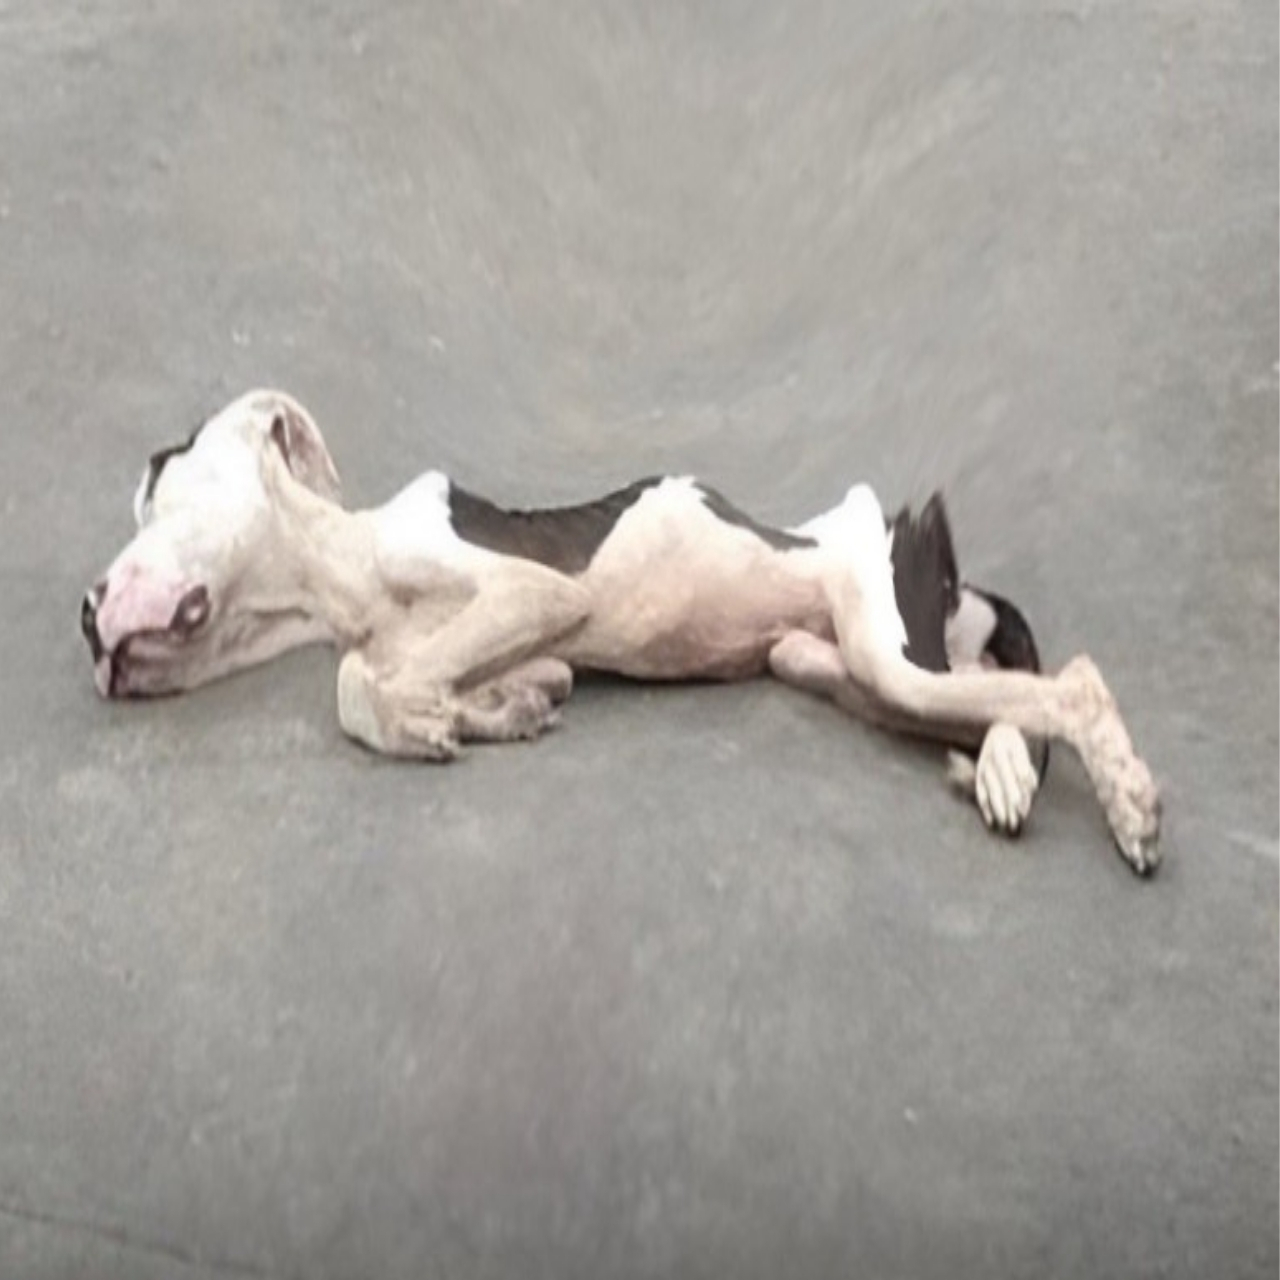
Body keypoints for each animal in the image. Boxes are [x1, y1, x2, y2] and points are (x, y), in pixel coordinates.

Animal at [81, 390, 1162, 874]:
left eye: (153, 480)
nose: (87, 617)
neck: (346, 569)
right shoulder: (535, 644)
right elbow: (376, 679)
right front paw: (491, 711)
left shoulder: (532, 592)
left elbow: (365, 681)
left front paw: (430, 715)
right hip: (828, 664)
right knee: (1004, 700)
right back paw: (1003, 768)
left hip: (882, 636)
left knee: (1071, 680)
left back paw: (1123, 801)